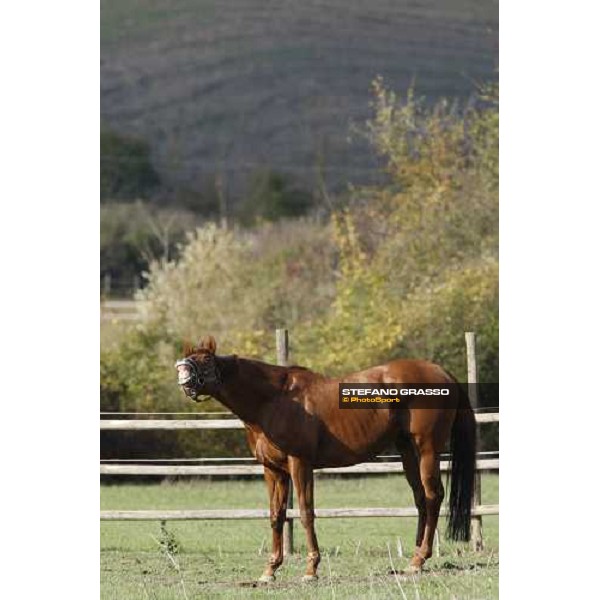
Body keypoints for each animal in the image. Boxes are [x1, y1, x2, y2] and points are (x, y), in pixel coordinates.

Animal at [176, 336, 476, 580]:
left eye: (205, 361)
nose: (182, 377)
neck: (273, 400)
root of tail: (442, 372)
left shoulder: (300, 464)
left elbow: (306, 513)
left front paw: (311, 569)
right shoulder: (273, 470)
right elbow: (276, 516)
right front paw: (270, 570)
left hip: (427, 450)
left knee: (433, 496)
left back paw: (419, 559)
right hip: (407, 451)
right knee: (420, 498)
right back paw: (414, 559)